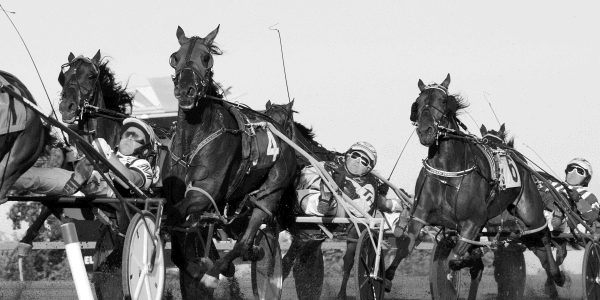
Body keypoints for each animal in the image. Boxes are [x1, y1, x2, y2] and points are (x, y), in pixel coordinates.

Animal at [163, 25, 296, 298]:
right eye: (174, 57)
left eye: (206, 58)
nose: (185, 90)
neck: (193, 138)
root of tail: (281, 133)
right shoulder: (176, 195)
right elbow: (177, 238)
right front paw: (195, 268)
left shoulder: (203, 193)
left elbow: (176, 217)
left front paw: (204, 274)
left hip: (270, 191)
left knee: (245, 239)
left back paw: (217, 272)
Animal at [382, 74, 564, 298]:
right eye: (418, 102)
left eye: (443, 100)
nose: (425, 131)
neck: (448, 172)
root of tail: (515, 156)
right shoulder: (421, 215)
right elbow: (405, 248)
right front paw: (386, 278)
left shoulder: (474, 220)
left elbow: (456, 259)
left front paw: (465, 262)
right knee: (536, 245)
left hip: (529, 211)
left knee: (543, 234)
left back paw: (557, 275)